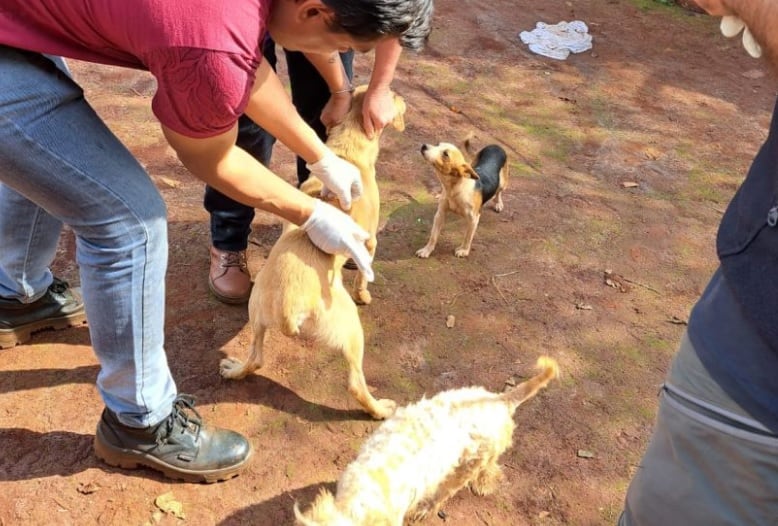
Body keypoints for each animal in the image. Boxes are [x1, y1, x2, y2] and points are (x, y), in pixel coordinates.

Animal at [215, 87, 404, 424]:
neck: (347, 153)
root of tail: (290, 305)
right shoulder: (371, 243)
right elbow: (364, 274)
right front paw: (365, 292)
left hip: (256, 316)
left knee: (256, 359)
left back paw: (234, 370)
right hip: (351, 330)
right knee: (356, 385)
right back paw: (380, 410)